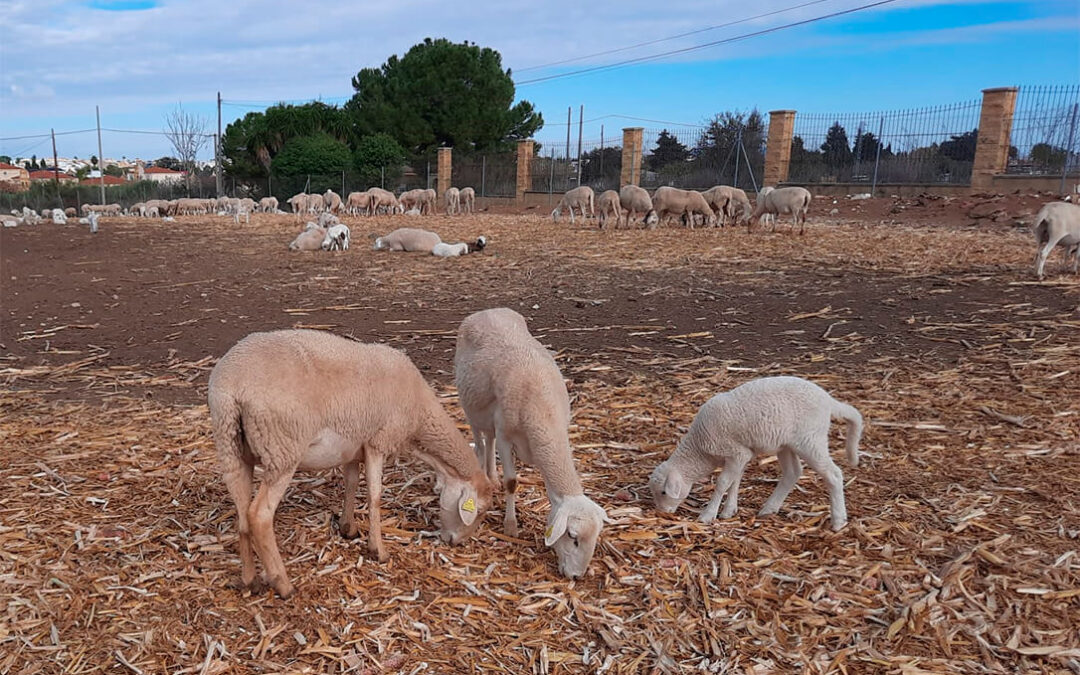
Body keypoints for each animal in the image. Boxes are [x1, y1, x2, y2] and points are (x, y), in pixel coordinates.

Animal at [207, 328, 494, 596]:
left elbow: (352, 484)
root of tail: (233, 387)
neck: (419, 418)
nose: (455, 543)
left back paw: (250, 580)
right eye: (478, 510)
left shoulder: (353, 446)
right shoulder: (378, 440)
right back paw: (283, 584)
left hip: (231, 448)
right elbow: (375, 496)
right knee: (259, 515)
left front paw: (348, 528)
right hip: (282, 448)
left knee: (243, 514)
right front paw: (378, 551)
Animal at [453, 308, 609, 574]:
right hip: (472, 409)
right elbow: (512, 482)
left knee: (489, 440)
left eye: (596, 537)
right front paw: (510, 526)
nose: (576, 576)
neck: (543, 410)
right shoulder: (506, 436)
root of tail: (486, 311)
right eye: (572, 536)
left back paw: (492, 478)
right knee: (481, 442)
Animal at [643, 375, 864, 529]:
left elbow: (723, 482)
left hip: (810, 439)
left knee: (833, 474)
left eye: (663, 492)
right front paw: (729, 511)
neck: (699, 448)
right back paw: (769, 509)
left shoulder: (735, 452)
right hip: (786, 444)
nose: (662, 513)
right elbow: (735, 481)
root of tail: (827, 399)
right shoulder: (740, 455)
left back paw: (838, 521)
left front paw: (708, 515)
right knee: (793, 473)